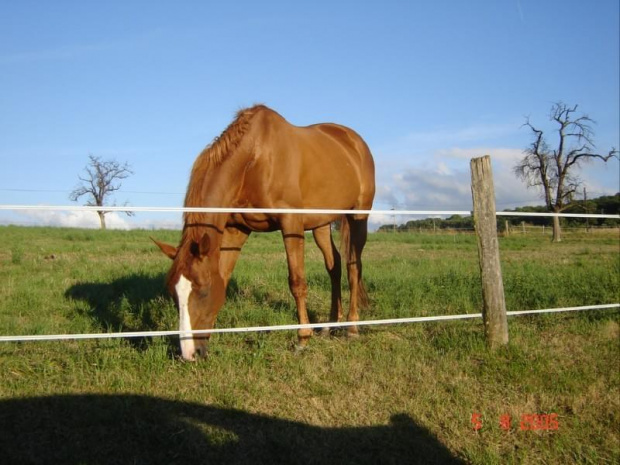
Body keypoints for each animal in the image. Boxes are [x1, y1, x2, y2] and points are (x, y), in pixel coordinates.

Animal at [156, 105, 378, 358]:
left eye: (202, 291)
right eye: (173, 293)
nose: (189, 353)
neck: (254, 159)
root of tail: (354, 141)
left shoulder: (291, 224)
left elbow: (297, 282)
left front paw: (302, 339)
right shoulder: (236, 230)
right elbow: (224, 275)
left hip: (358, 217)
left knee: (353, 267)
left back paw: (352, 328)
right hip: (321, 224)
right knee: (335, 266)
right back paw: (330, 326)